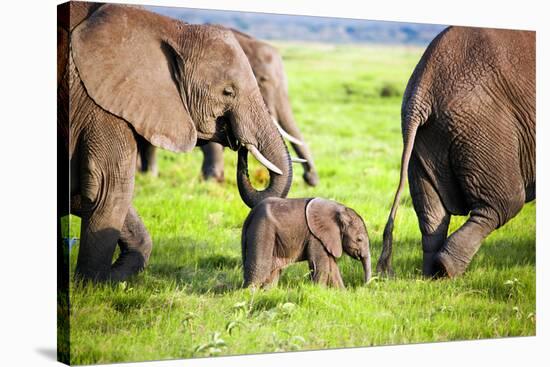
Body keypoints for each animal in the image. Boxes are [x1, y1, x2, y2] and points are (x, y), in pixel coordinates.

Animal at [57, 3, 294, 282]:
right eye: (228, 92)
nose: (241, 146)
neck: (171, 28)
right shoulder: (99, 106)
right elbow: (108, 189)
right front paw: (91, 287)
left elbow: (91, 194)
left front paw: (110, 280)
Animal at [244, 197, 374, 288]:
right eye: (359, 239)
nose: (363, 286)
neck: (339, 209)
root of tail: (250, 215)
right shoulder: (315, 236)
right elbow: (321, 265)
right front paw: (319, 291)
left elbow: (332, 267)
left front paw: (342, 294)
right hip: (262, 230)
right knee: (260, 268)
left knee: (273, 272)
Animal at [378, 26, 536, 278]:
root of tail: (423, 87)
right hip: (482, 124)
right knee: (504, 203)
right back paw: (447, 269)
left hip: (425, 139)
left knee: (431, 213)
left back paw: (431, 275)